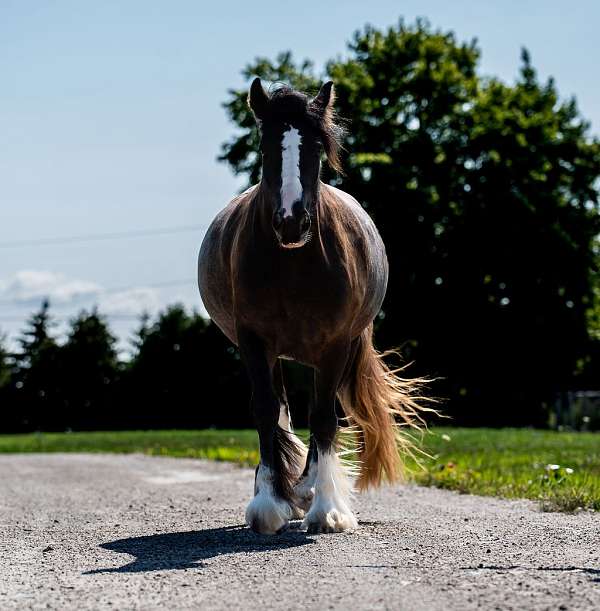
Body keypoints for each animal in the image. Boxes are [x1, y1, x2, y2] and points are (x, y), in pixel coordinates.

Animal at [198, 77, 426, 536]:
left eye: (316, 147)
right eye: (265, 145)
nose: (291, 220)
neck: (294, 264)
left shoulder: (335, 344)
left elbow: (323, 417)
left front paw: (326, 510)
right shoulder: (254, 340)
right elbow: (267, 411)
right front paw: (269, 503)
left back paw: (307, 489)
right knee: (281, 411)